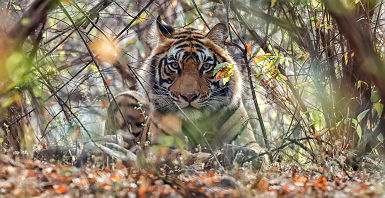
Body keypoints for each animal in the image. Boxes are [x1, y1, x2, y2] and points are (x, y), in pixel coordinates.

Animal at [105, 17, 268, 169]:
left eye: (206, 66)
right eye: (174, 65)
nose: (189, 96)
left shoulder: (246, 140)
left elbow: (260, 152)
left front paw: (249, 157)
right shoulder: (155, 148)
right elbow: (181, 156)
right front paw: (212, 158)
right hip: (124, 98)